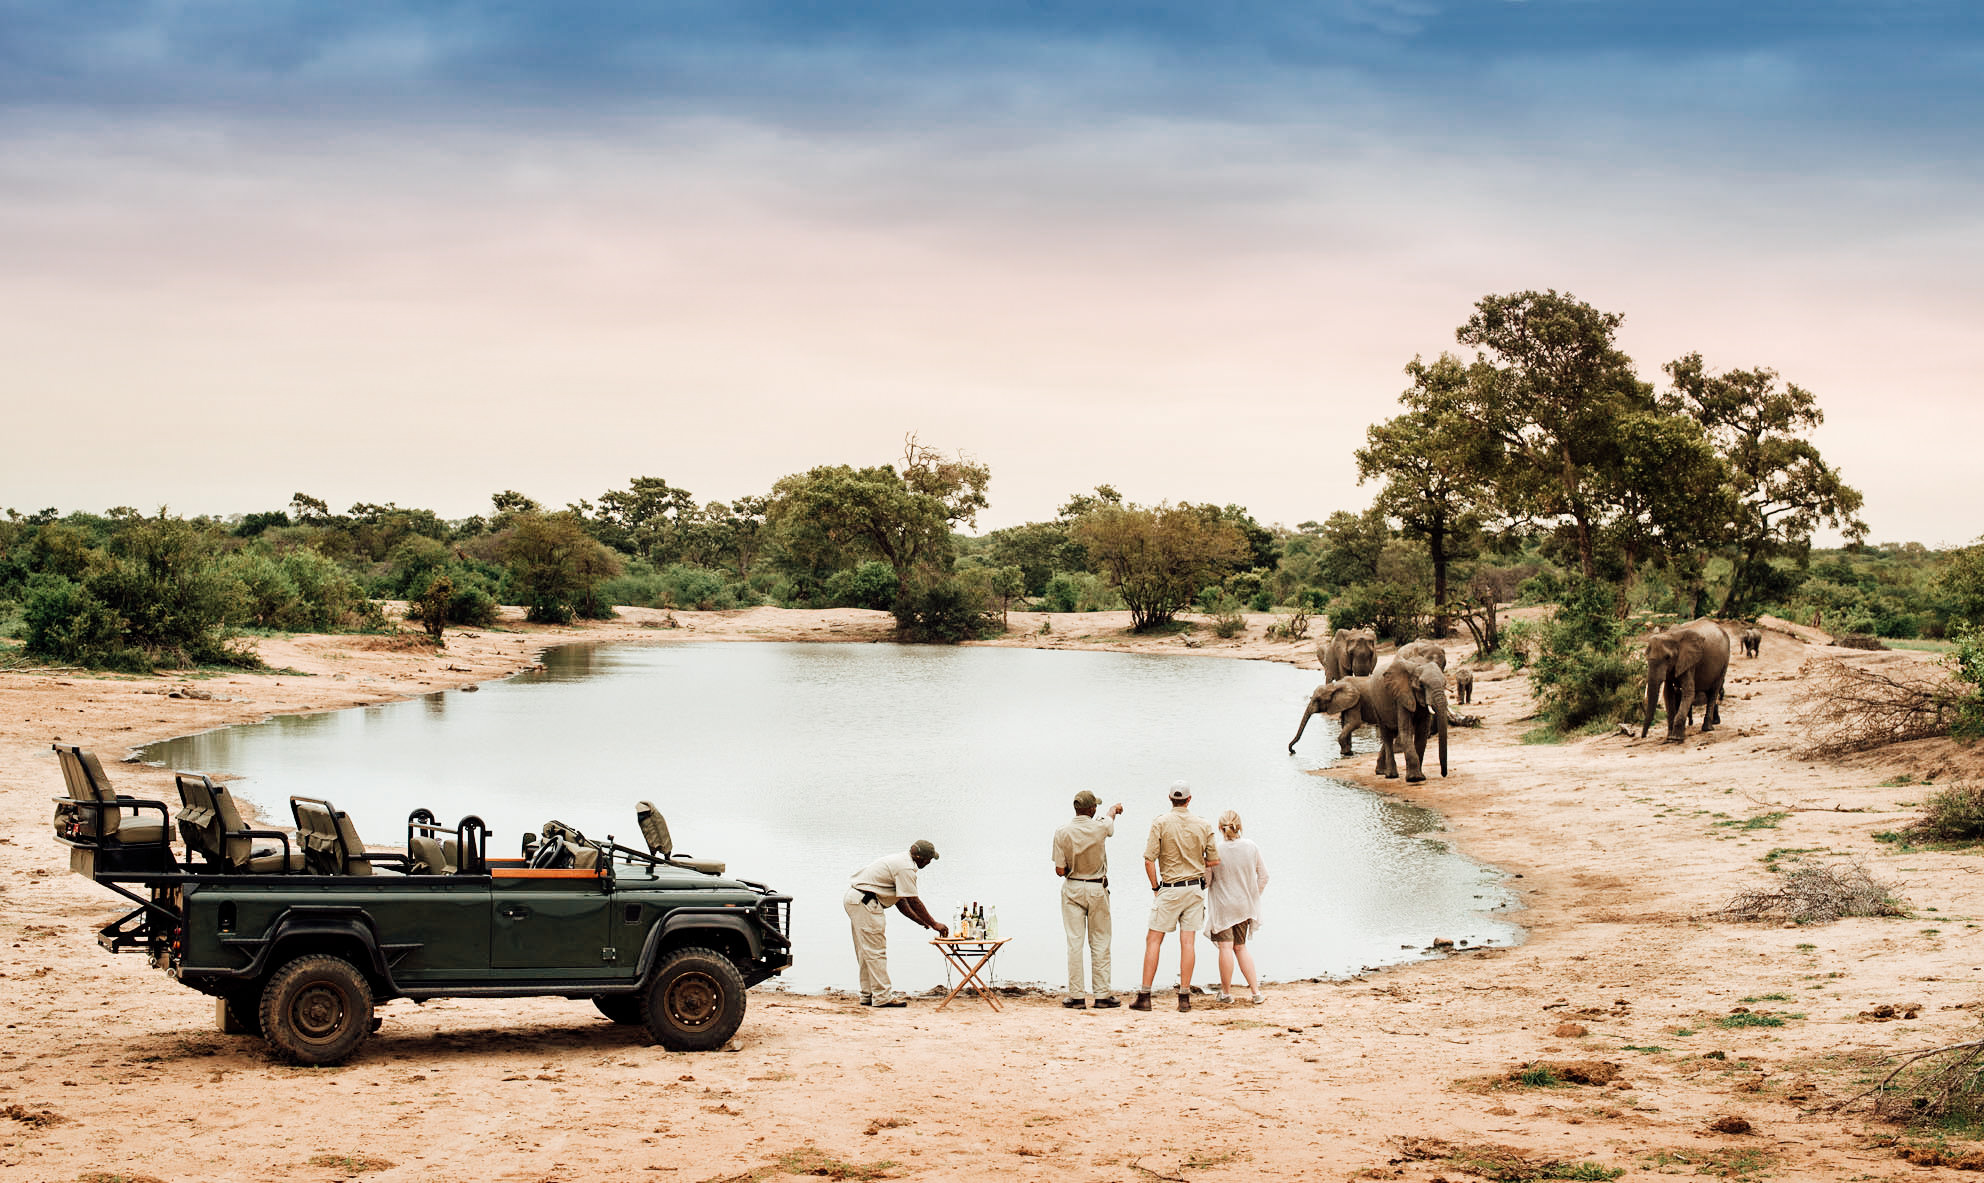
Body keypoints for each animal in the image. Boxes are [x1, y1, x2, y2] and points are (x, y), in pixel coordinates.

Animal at [1357, 655, 1452, 786]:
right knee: (1387, 735)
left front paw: (1420, 776)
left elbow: (1422, 732)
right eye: (1421, 685)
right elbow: (1406, 730)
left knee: (1393, 733)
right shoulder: (1402, 695)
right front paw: (1415, 778)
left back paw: (1380, 771)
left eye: (1445, 684)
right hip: (1376, 702)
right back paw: (1390, 775)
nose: (1443, 774)